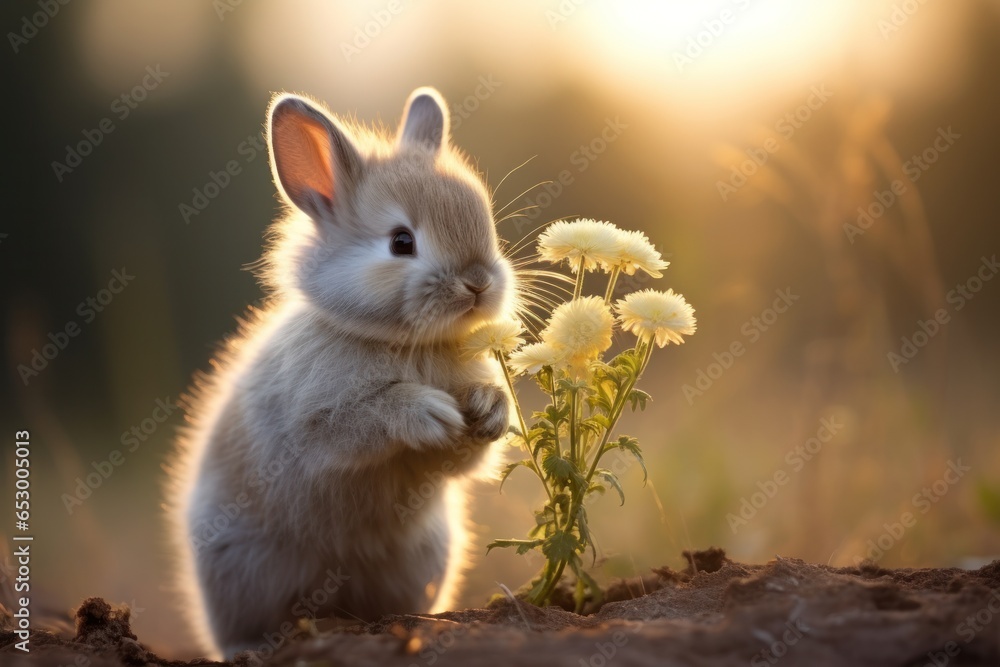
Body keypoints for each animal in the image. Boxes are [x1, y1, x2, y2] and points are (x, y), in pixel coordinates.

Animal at [167, 86, 512, 660]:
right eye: (401, 242)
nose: (478, 282)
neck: (401, 341)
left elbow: (471, 452)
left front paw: (489, 409)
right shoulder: (316, 426)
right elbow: (361, 421)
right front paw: (428, 412)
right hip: (241, 568)